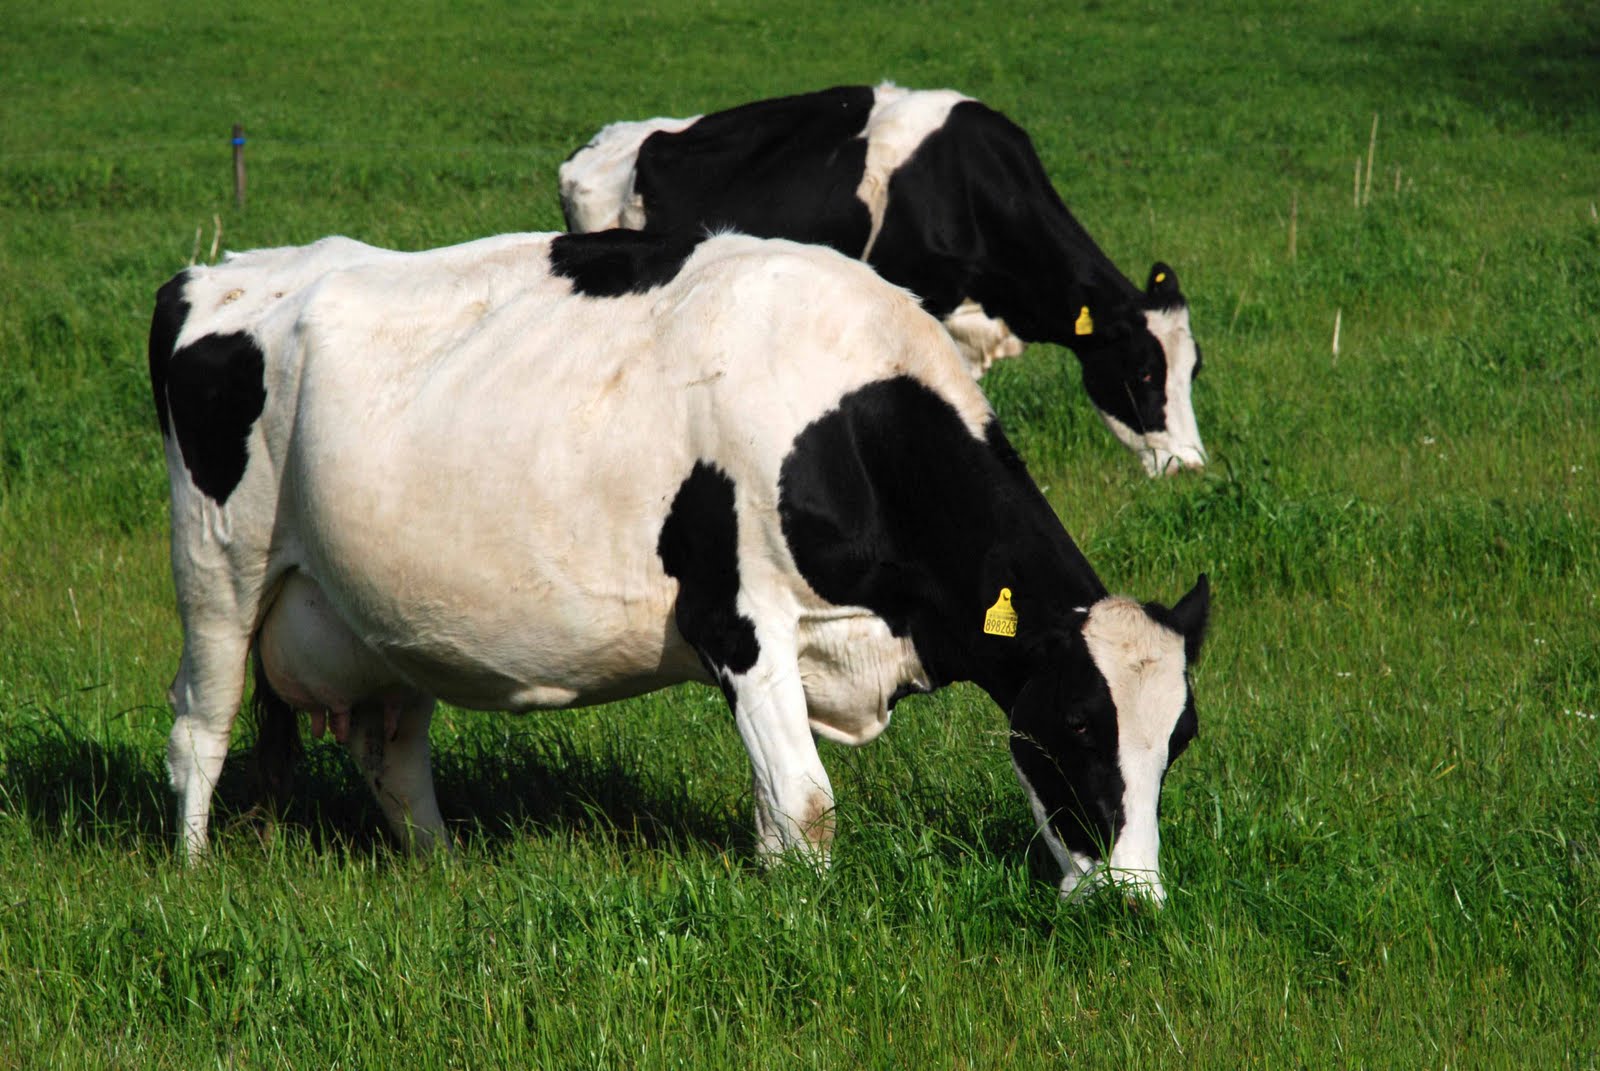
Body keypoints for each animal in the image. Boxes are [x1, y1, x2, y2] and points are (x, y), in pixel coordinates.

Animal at [148, 227, 1210, 903]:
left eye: (1181, 738)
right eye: (1077, 723)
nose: (1133, 901)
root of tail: (213, 276)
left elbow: (776, 811)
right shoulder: (737, 623)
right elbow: (807, 807)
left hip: (384, 620)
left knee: (394, 757)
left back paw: (443, 870)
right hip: (219, 573)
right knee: (201, 728)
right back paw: (193, 878)